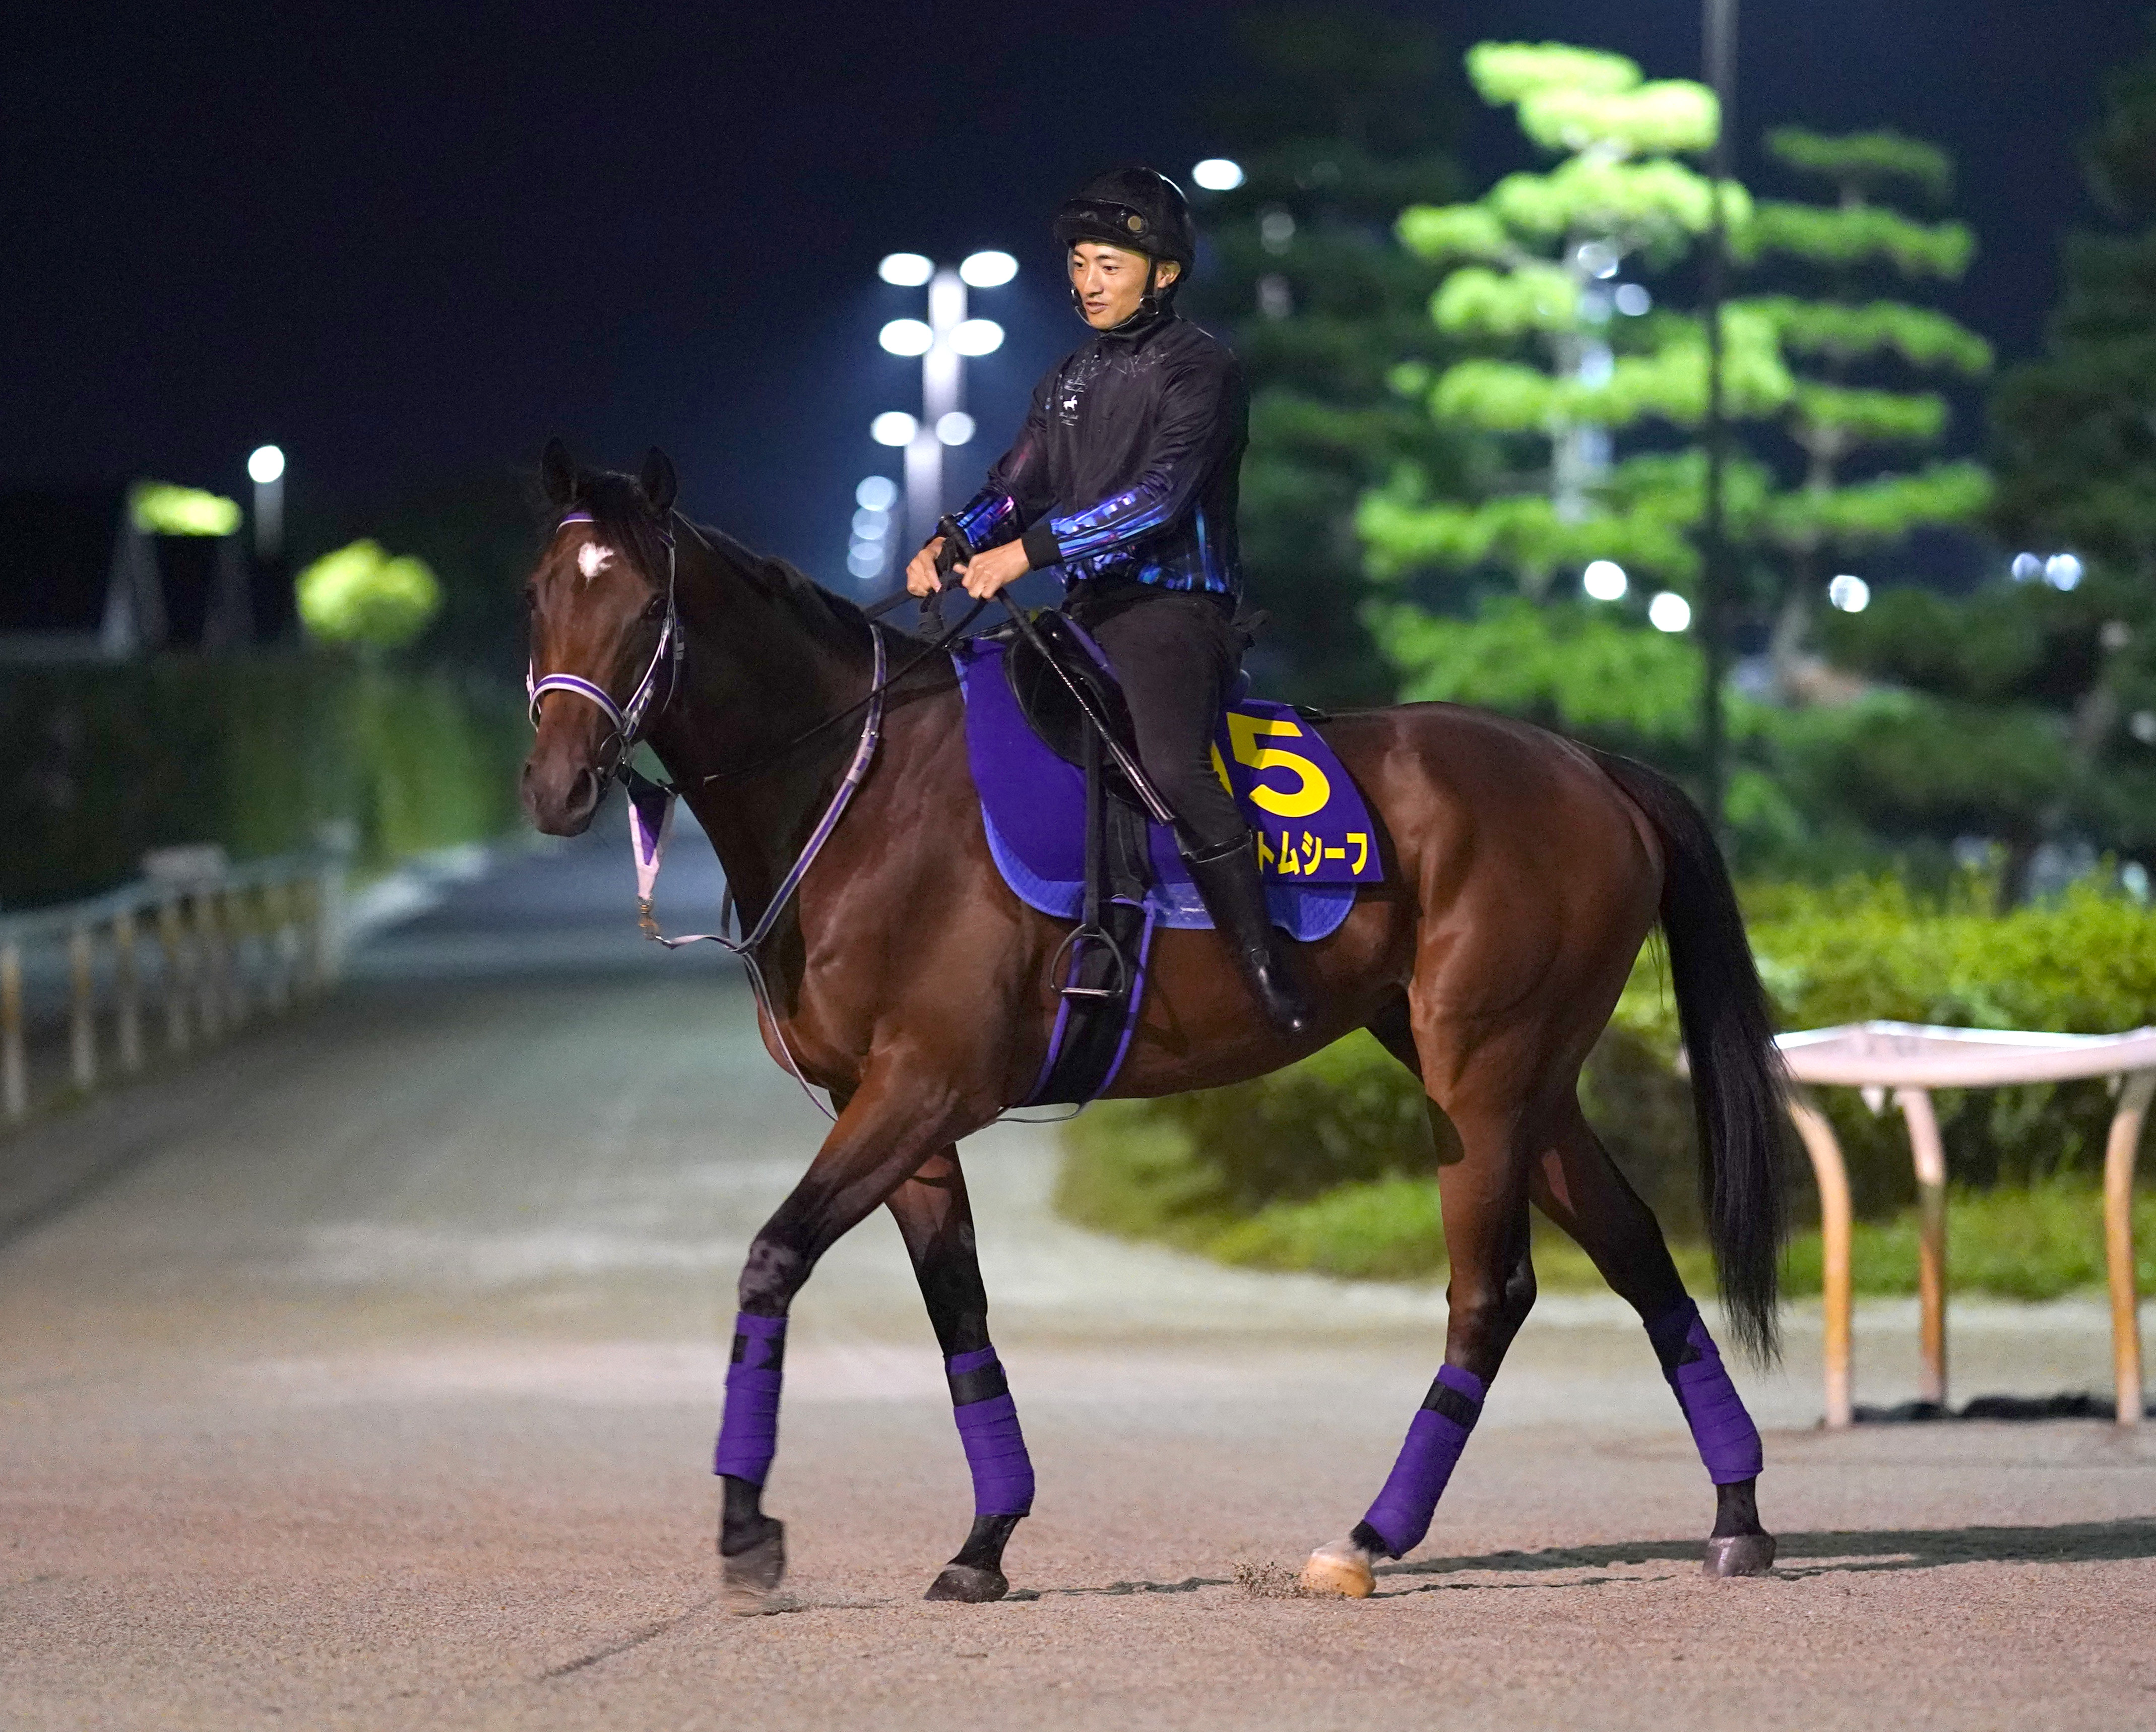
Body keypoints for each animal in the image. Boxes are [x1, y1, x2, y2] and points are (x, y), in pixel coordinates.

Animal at [517, 446, 1785, 1613]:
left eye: (643, 605)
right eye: (540, 592)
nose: (556, 785)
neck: (867, 785)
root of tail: (1595, 769)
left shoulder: (926, 1083)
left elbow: (774, 1258)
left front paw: (746, 1531)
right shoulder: (890, 1106)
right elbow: (956, 1306)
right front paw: (985, 1537)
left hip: (1481, 1071)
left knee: (1492, 1291)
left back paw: (1368, 1536)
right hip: (1521, 1076)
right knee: (1636, 1249)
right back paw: (1737, 1512)